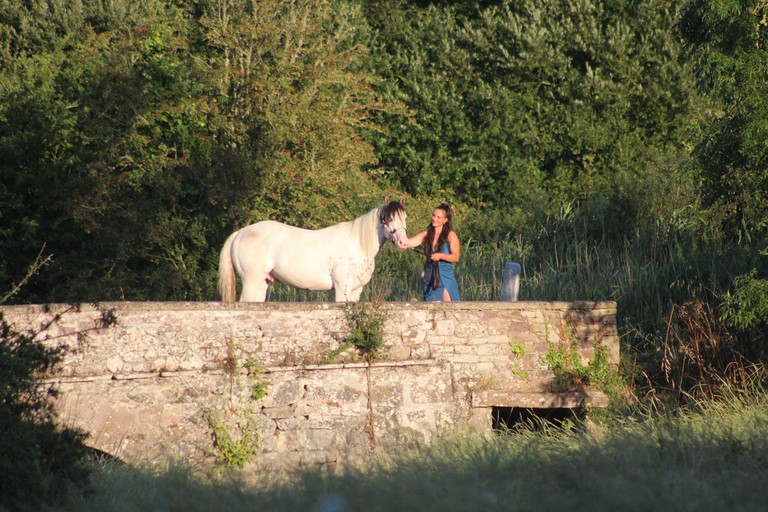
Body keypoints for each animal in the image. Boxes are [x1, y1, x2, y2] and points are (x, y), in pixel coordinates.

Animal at [217, 200, 409, 302]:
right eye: (389, 218)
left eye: (404, 217)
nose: (403, 242)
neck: (358, 244)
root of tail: (239, 233)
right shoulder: (342, 287)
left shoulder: (356, 290)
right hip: (251, 281)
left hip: (262, 282)